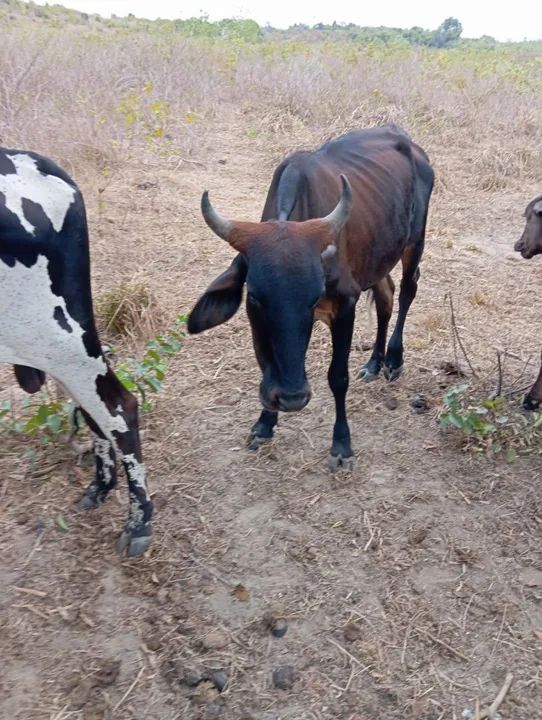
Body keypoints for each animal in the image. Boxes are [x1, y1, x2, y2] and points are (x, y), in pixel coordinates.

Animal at [188, 125, 434, 470]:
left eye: (313, 297)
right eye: (255, 298)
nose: (292, 398)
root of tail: (408, 142)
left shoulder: (345, 305)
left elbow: (338, 377)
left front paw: (341, 445)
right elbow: (267, 365)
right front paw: (265, 423)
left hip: (415, 241)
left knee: (408, 291)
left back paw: (394, 359)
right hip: (378, 257)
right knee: (386, 297)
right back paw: (374, 363)